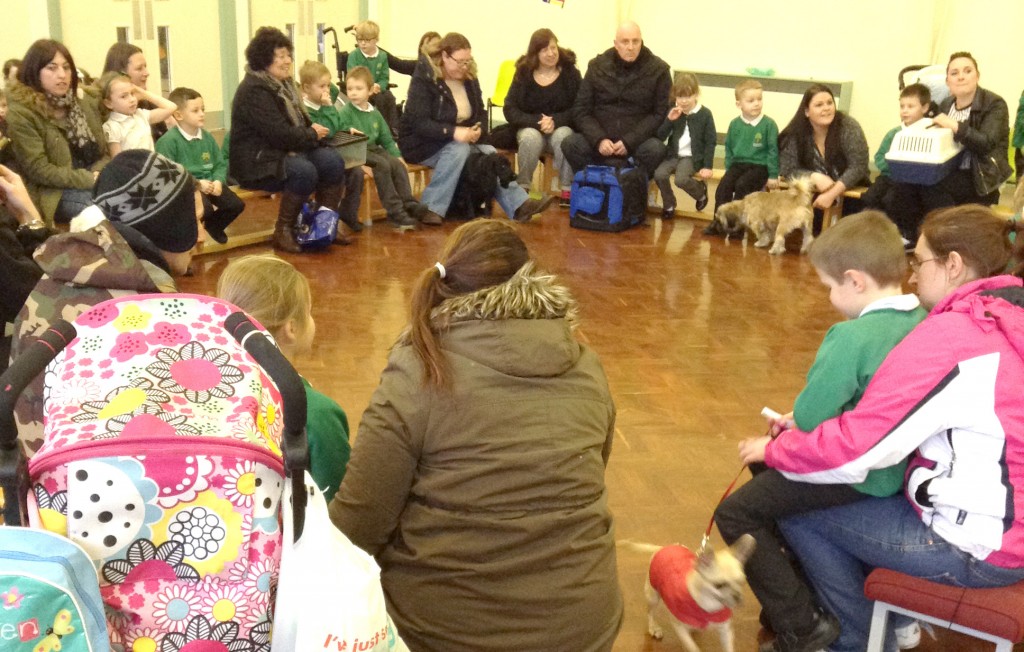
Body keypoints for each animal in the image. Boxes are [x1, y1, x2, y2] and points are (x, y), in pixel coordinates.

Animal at [618, 532, 757, 650]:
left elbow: (728, 647)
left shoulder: (725, 631)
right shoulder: (680, 628)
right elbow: (693, 647)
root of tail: (664, 547)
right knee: (650, 613)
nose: (738, 598)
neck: (708, 606)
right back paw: (653, 627)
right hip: (652, 596)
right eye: (719, 585)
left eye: (742, 582)